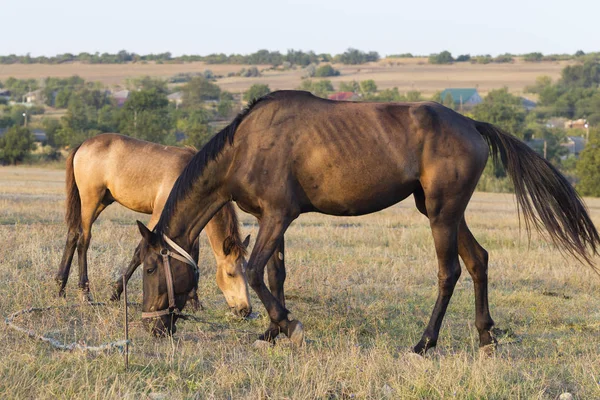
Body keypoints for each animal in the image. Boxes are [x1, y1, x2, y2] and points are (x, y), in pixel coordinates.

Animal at [55, 133, 252, 318]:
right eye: (230, 273)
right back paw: (84, 292)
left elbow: (192, 256)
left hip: (101, 202)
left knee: (73, 234)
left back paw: (60, 286)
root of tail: (82, 145)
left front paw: (194, 301)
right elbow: (140, 251)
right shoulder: (158, 215)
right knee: (83, 240)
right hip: (91, 201)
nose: (245, 310)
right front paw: (116, 293)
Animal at [137, 91, 600, 354]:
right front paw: (271, 332)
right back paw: (486, 338)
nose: (153, 327)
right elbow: (273, 273)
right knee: (478, 261)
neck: (247, 145)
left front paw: (289, 326)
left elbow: (254, 272)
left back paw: (425, 343)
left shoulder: (278, 216)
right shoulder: (273, 220)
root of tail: (471, 123)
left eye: (150, 267)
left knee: (449, 272)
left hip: (441, 214)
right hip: (445, 212)